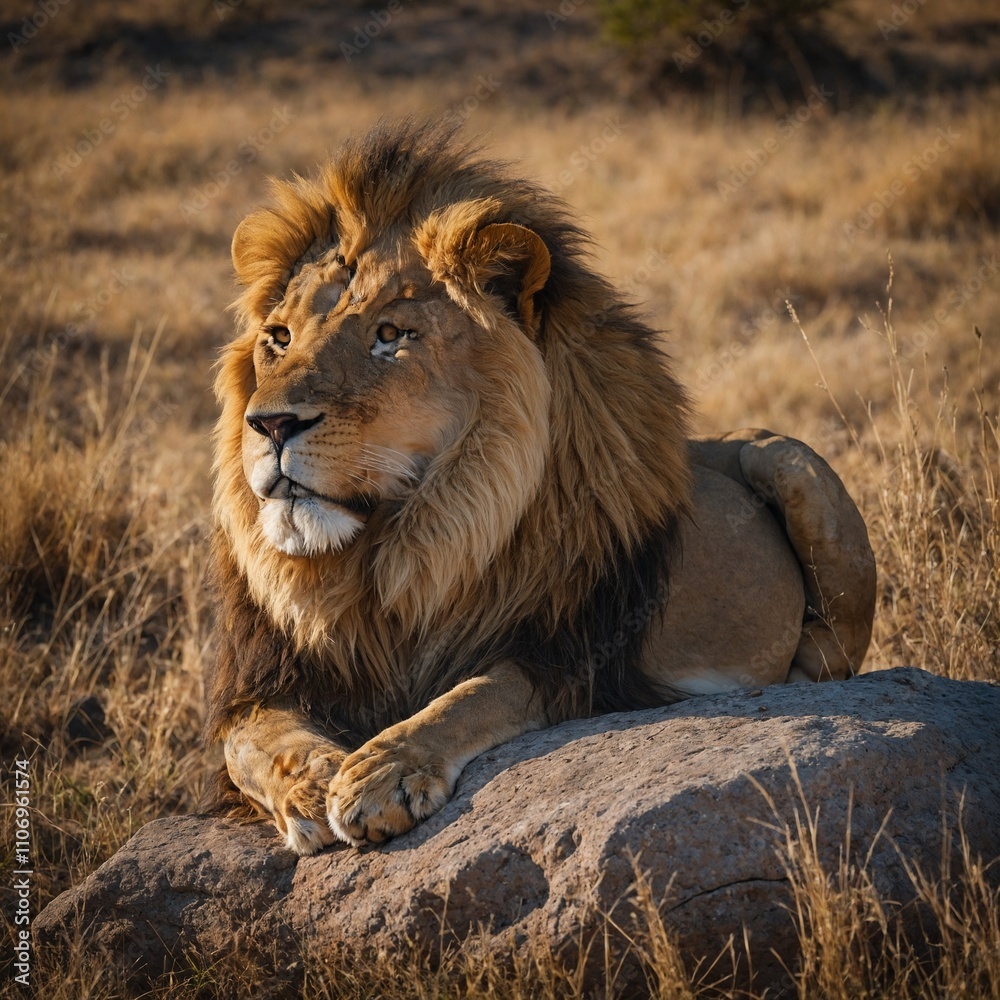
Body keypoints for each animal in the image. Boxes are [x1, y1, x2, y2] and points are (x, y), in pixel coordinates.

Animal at [205, 119, 876, 855]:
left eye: (389, 334)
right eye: (278, 336)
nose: (270, 424)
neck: (395, 554)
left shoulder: (572, 658)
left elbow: (473, 695)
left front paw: (383, 772)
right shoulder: (262, 681)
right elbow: (254, 741)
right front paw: (313, 782)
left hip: (792, 462)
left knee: (836, 651)